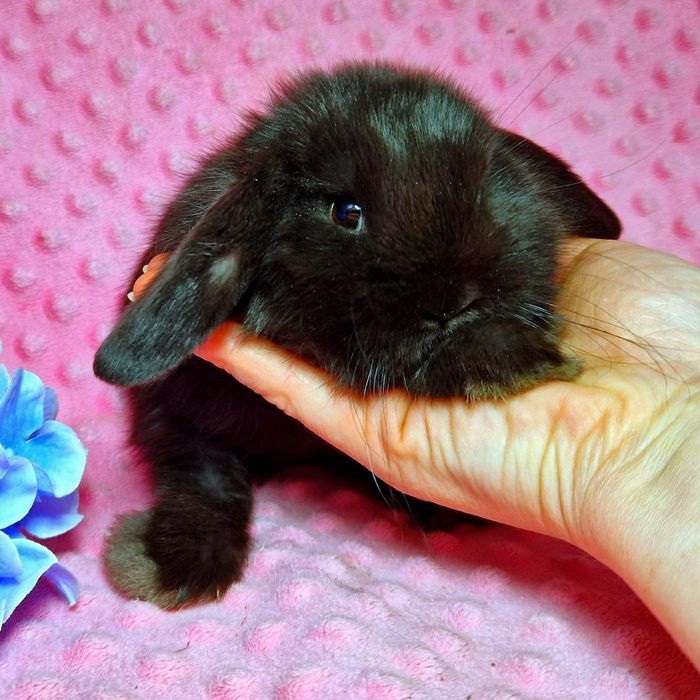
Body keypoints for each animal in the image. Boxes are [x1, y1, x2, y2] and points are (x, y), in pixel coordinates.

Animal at [94, 62, 621, 608]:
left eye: (488, 188)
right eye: (346, 212)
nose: (451, 301)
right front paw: (516, 357)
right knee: (202, 474)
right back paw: (174, 564)